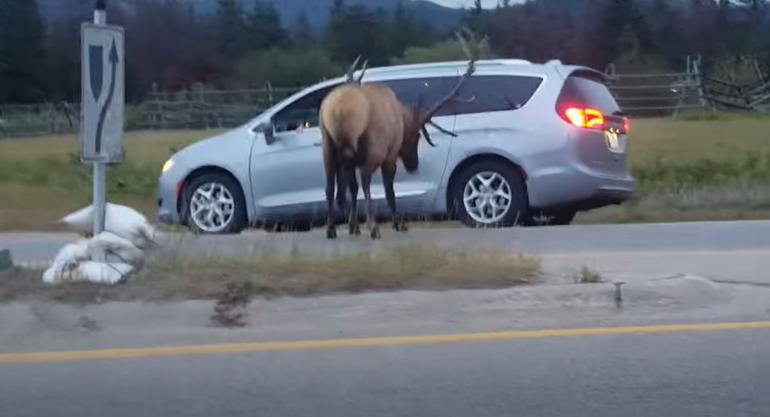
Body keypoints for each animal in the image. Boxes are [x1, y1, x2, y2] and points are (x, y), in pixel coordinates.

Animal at [319, 31, 477, 240]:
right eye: (416, 136)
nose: (413, 164)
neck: (401, 115)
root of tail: (337, 110)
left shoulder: (350, 159)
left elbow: (351, 188)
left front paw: (354, 226)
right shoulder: (391, 154)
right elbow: (389, 190)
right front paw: (398, 223)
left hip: (328, 145)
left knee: (331, 186)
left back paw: (331, 229)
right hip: (374, 148)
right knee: (365, 178)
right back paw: (374, 227)